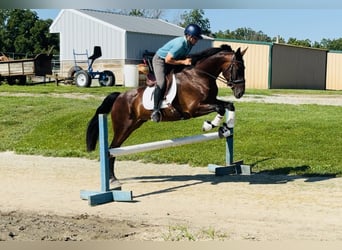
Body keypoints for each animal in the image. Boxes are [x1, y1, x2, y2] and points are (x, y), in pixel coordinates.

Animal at [85, 44, 246, 184]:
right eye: (238, 68)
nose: (240, 93)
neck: (199, 75)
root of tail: (119, 96)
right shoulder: (194, 108)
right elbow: (219, 108)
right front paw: (209, 125)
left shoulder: (211, 100)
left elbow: (228, 105)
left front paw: (227, 126)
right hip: (123, 127)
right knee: (111, 150)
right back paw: (112, 179)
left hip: (134, 125)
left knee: (114, 149)